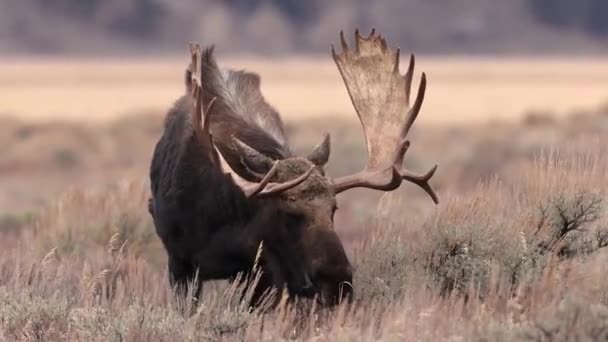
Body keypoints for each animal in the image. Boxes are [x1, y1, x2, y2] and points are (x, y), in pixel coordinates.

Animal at [150, 29, 440, 308]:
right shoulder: (180, 262)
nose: (337, 283)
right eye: (287, 212)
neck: (227, 226)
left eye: (333, 209)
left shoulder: (263, 273)